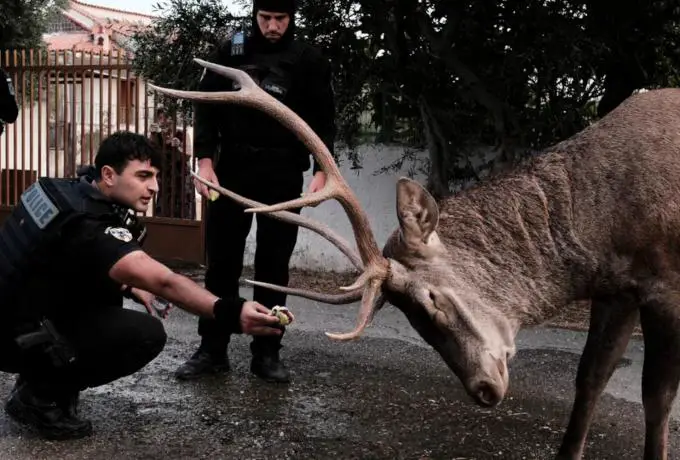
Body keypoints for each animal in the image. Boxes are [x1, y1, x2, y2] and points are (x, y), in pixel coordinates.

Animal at [150, 59, 680, 458]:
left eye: (433, 299)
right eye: (416, 320)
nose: (484, 390)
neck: (604, 225)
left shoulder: (664, 284)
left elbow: (656, 396)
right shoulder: (617, 287)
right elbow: (589, 377)